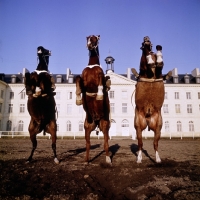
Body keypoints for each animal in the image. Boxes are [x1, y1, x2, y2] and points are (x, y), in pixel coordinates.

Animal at [76, 35, 111, 164]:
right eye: (87, 38)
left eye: (95, 38)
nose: (89, 45)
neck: (92, 65)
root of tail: (96, 121)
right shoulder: (83, 78)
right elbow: (77, 79)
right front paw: (78, 99)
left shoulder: (99, 76)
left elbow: (102, 80)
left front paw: (100, 94)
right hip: (87, 128)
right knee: (88, 144)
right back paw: (86, 160)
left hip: (105, 126)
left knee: (106, 144)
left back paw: (108, 159)